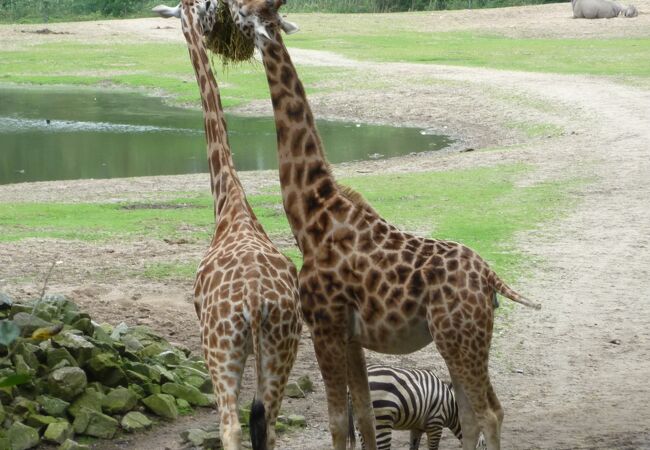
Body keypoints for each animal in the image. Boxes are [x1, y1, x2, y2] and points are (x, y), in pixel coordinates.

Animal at [153, 1, 302, 448]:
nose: (210, 24)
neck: (231, 203)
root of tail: (254, 301)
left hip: (220, 348)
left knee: (231, 425)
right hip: (283, 344)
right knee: (269, 425)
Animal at [215, 1, 540, 448]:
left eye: (243, 12)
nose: (225, 13)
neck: (311, 219)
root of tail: (491, 277)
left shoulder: (324, 326)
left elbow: (338, 421)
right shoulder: (351, 336)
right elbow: (365, 417)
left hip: (459, 337)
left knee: (488, 412)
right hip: (467, 339)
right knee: (478, 411)